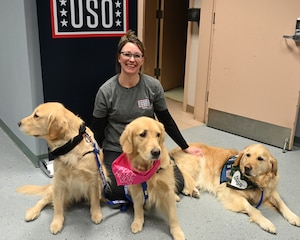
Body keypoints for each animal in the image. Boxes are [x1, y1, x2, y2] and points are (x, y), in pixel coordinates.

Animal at [16, 101, 109, 234]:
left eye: (36, 116)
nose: (18, 123)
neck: (71, 144)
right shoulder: (59, 182)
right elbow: (58, 206)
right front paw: (56, 223)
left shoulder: (94, 180)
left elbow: (95, 200)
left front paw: (96, 214)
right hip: (53, 188)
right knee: (43, 201)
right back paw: (32, 212)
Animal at [170, 143, 300, 233]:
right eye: (248, 155)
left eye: (260, 158)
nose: (247, 167)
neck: (253, 183)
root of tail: (173, 151)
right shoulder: (230, 193)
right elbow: (252, 208)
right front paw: (266, 222)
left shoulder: (269, 191)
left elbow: (281, 203)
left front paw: (293, 217)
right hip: (196, 163)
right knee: (181, 173)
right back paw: (189, 190)